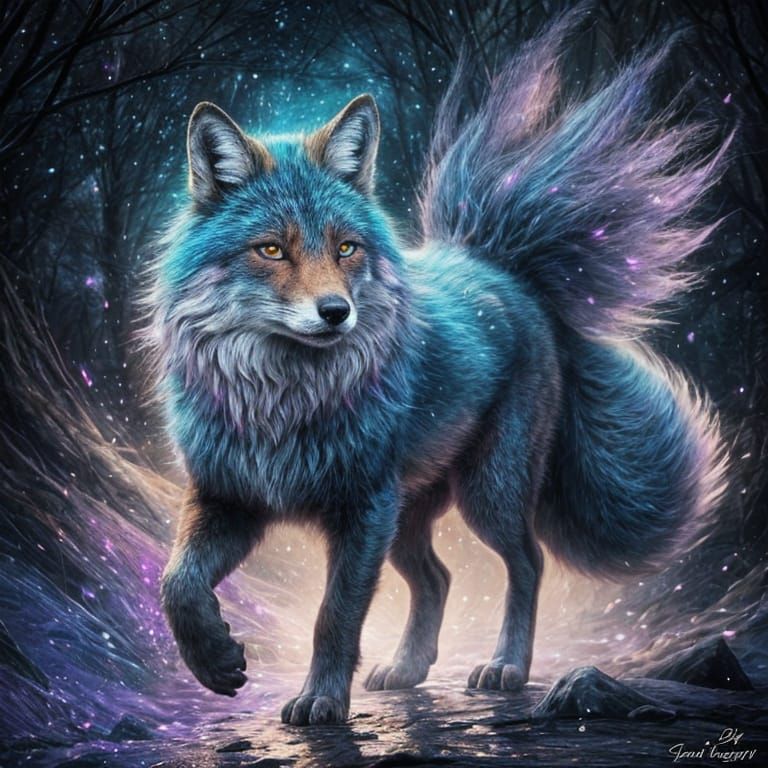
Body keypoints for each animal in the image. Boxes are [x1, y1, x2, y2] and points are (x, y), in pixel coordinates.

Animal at [149, 19, 728, 726]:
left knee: (528, 561)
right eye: (271, 249)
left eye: (346, 248)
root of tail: (505, 268)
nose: (336, 312)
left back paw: (506, 668)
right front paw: (216, 662)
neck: (283, 400)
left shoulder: (362, 509)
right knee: (439, 577)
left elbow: (333, 615)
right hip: (407, 518)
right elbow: (177, 583)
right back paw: (407, 669)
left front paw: (321, 701)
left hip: (484, 496)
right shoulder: (230, 496)